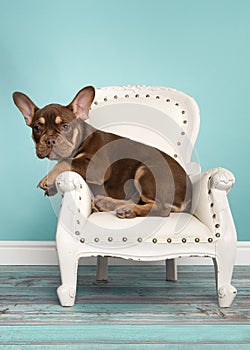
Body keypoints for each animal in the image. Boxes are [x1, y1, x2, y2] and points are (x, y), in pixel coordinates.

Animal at [12, 86, 191, 217]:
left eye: (65, 127)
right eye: (37, 128)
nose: (49, 140)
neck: (82, 138)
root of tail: (189, 193)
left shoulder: (97, 165)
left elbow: (67, 161)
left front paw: (48, 179)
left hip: (146, 170)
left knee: (161, 208)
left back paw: (129, 211)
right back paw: (107, 204)